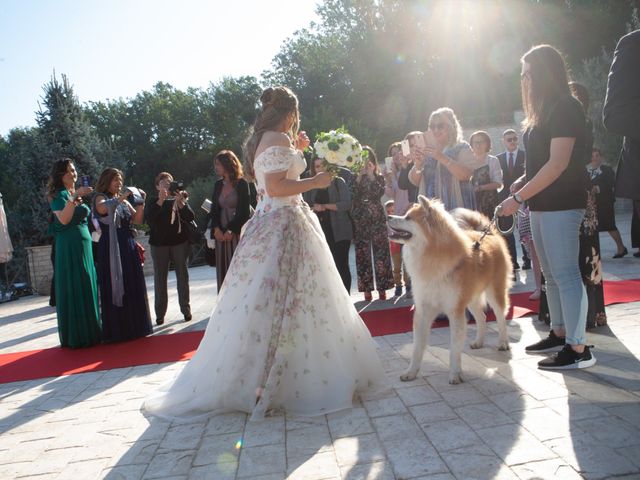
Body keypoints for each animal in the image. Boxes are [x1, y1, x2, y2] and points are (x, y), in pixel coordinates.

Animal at [384, 195, 516, 382]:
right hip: (471, 298)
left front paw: (455, 373)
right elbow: (417, 347)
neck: (432, 257)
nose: (388, 216)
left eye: (408, 218)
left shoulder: (455, 311)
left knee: (500, 317)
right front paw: (411, 372)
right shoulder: (424, 310)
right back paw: (479, 342)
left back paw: (503, 342)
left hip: (494, 292)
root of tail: (488, 233)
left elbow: (454, 348)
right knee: (482, 317)